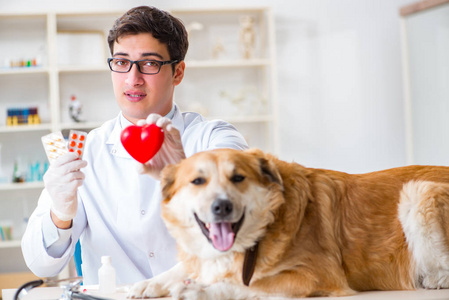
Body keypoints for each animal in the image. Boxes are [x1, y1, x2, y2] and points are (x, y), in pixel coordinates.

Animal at [128, 149, 448, 298]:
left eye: (238, 178)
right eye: (198, 181)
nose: (221, 207)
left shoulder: (315, 276)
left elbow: (249, 285)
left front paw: (200, 291)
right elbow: (183, 267)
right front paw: (147, 284)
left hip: (418, 192)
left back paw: (435, 279)